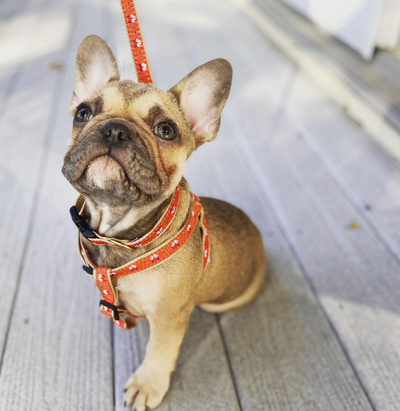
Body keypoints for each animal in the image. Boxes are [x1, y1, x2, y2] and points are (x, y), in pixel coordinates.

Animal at [61, 36, 266, 411]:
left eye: (166, 130)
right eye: (83, 112)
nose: (114, 129)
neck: (120, 234)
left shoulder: (169, 318)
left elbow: (158, 352)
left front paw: (147, 384)